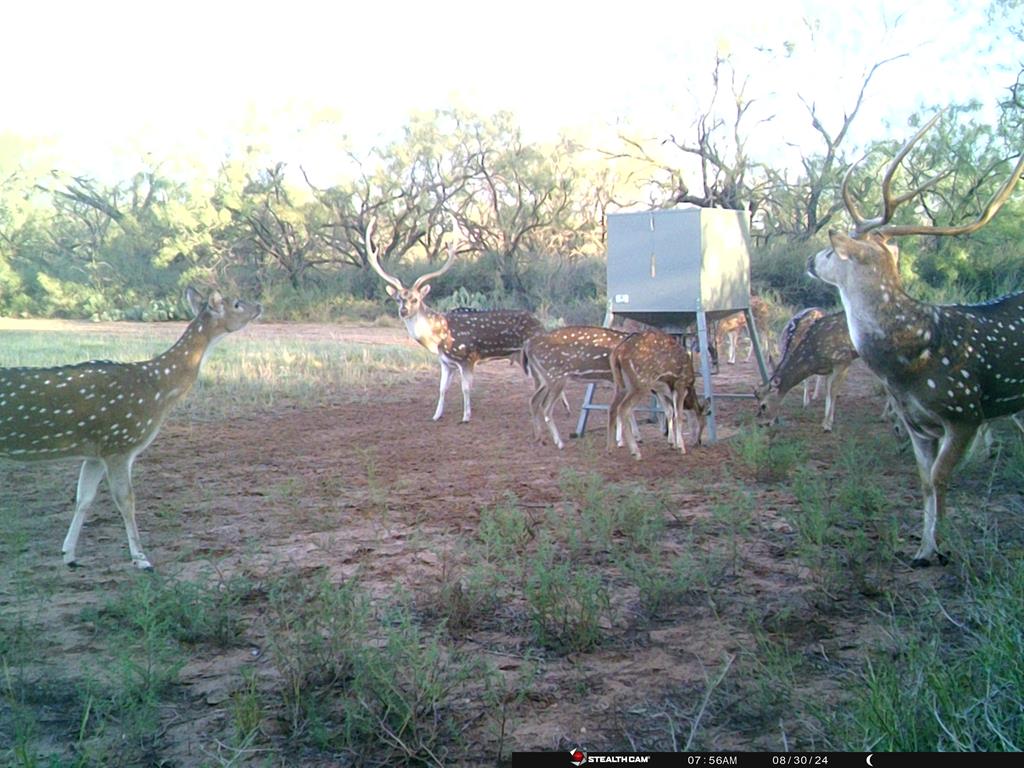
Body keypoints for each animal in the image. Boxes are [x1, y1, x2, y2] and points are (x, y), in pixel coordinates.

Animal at [0, 288, 262, 573]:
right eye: (236, 303)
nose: (259, 306)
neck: (157, 391)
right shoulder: (120, 443)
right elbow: (127, 500)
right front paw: (141, 559)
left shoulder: (96, 452)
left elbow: (83, 497)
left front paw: (69, 555)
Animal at [366, 219, 544, 423]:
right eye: (398, 299)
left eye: (416, 299)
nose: (403, 311)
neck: (439, 337)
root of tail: (542, 325)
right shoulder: (445, 363)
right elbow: (442, 388)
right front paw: (436, 415)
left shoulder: (467, 358)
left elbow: (465, 389)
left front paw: (466, 416)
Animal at [806, 114, 1024, 569]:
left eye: (833, 252)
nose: (809, 259)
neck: (909, 360)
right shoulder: (917, 424)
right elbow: (925, 481)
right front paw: (924, 547)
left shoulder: (965, 412)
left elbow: (940, 478)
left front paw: (938, 550)